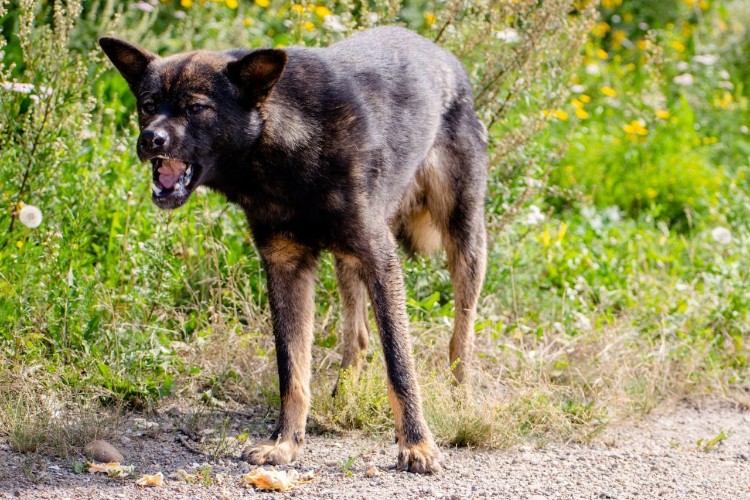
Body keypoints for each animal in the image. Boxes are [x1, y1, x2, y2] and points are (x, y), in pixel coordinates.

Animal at [98, 26, 488, 472]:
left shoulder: (381, 261)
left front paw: (417, 445)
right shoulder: (286, 267)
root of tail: (441, 53)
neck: (285, 152)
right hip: (348, 259)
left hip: (463, 239)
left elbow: (399, 364)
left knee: (460, 338)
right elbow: (292, 370)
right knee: (357, 337)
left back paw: (460, 399)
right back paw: (345, 398)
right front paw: (285, 442)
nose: (150, 139)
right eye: (147, 105)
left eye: (196, 108)